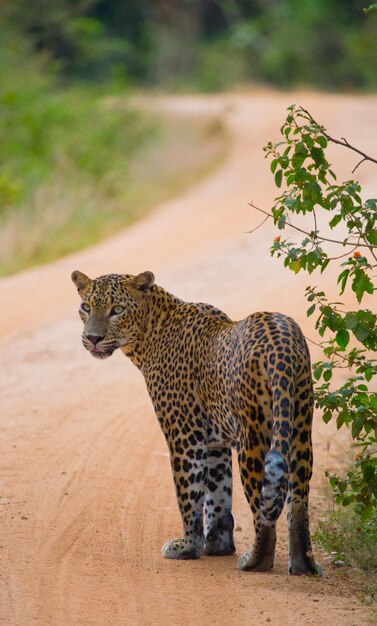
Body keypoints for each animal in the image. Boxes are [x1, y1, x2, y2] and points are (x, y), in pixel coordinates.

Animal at [71, 268, 320, 576]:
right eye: (86, 307)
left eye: (116, 310)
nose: (92, 338)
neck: (149, 334)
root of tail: (281, 343)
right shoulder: (215, 442)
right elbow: (218, 494)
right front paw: (217, 544)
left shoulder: (184, 435)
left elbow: (188, 493)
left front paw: (188, 545)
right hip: (299, 425)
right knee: (298, 502)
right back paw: (303, 565)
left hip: (253, 436)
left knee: (263, 506)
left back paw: (254, 561)